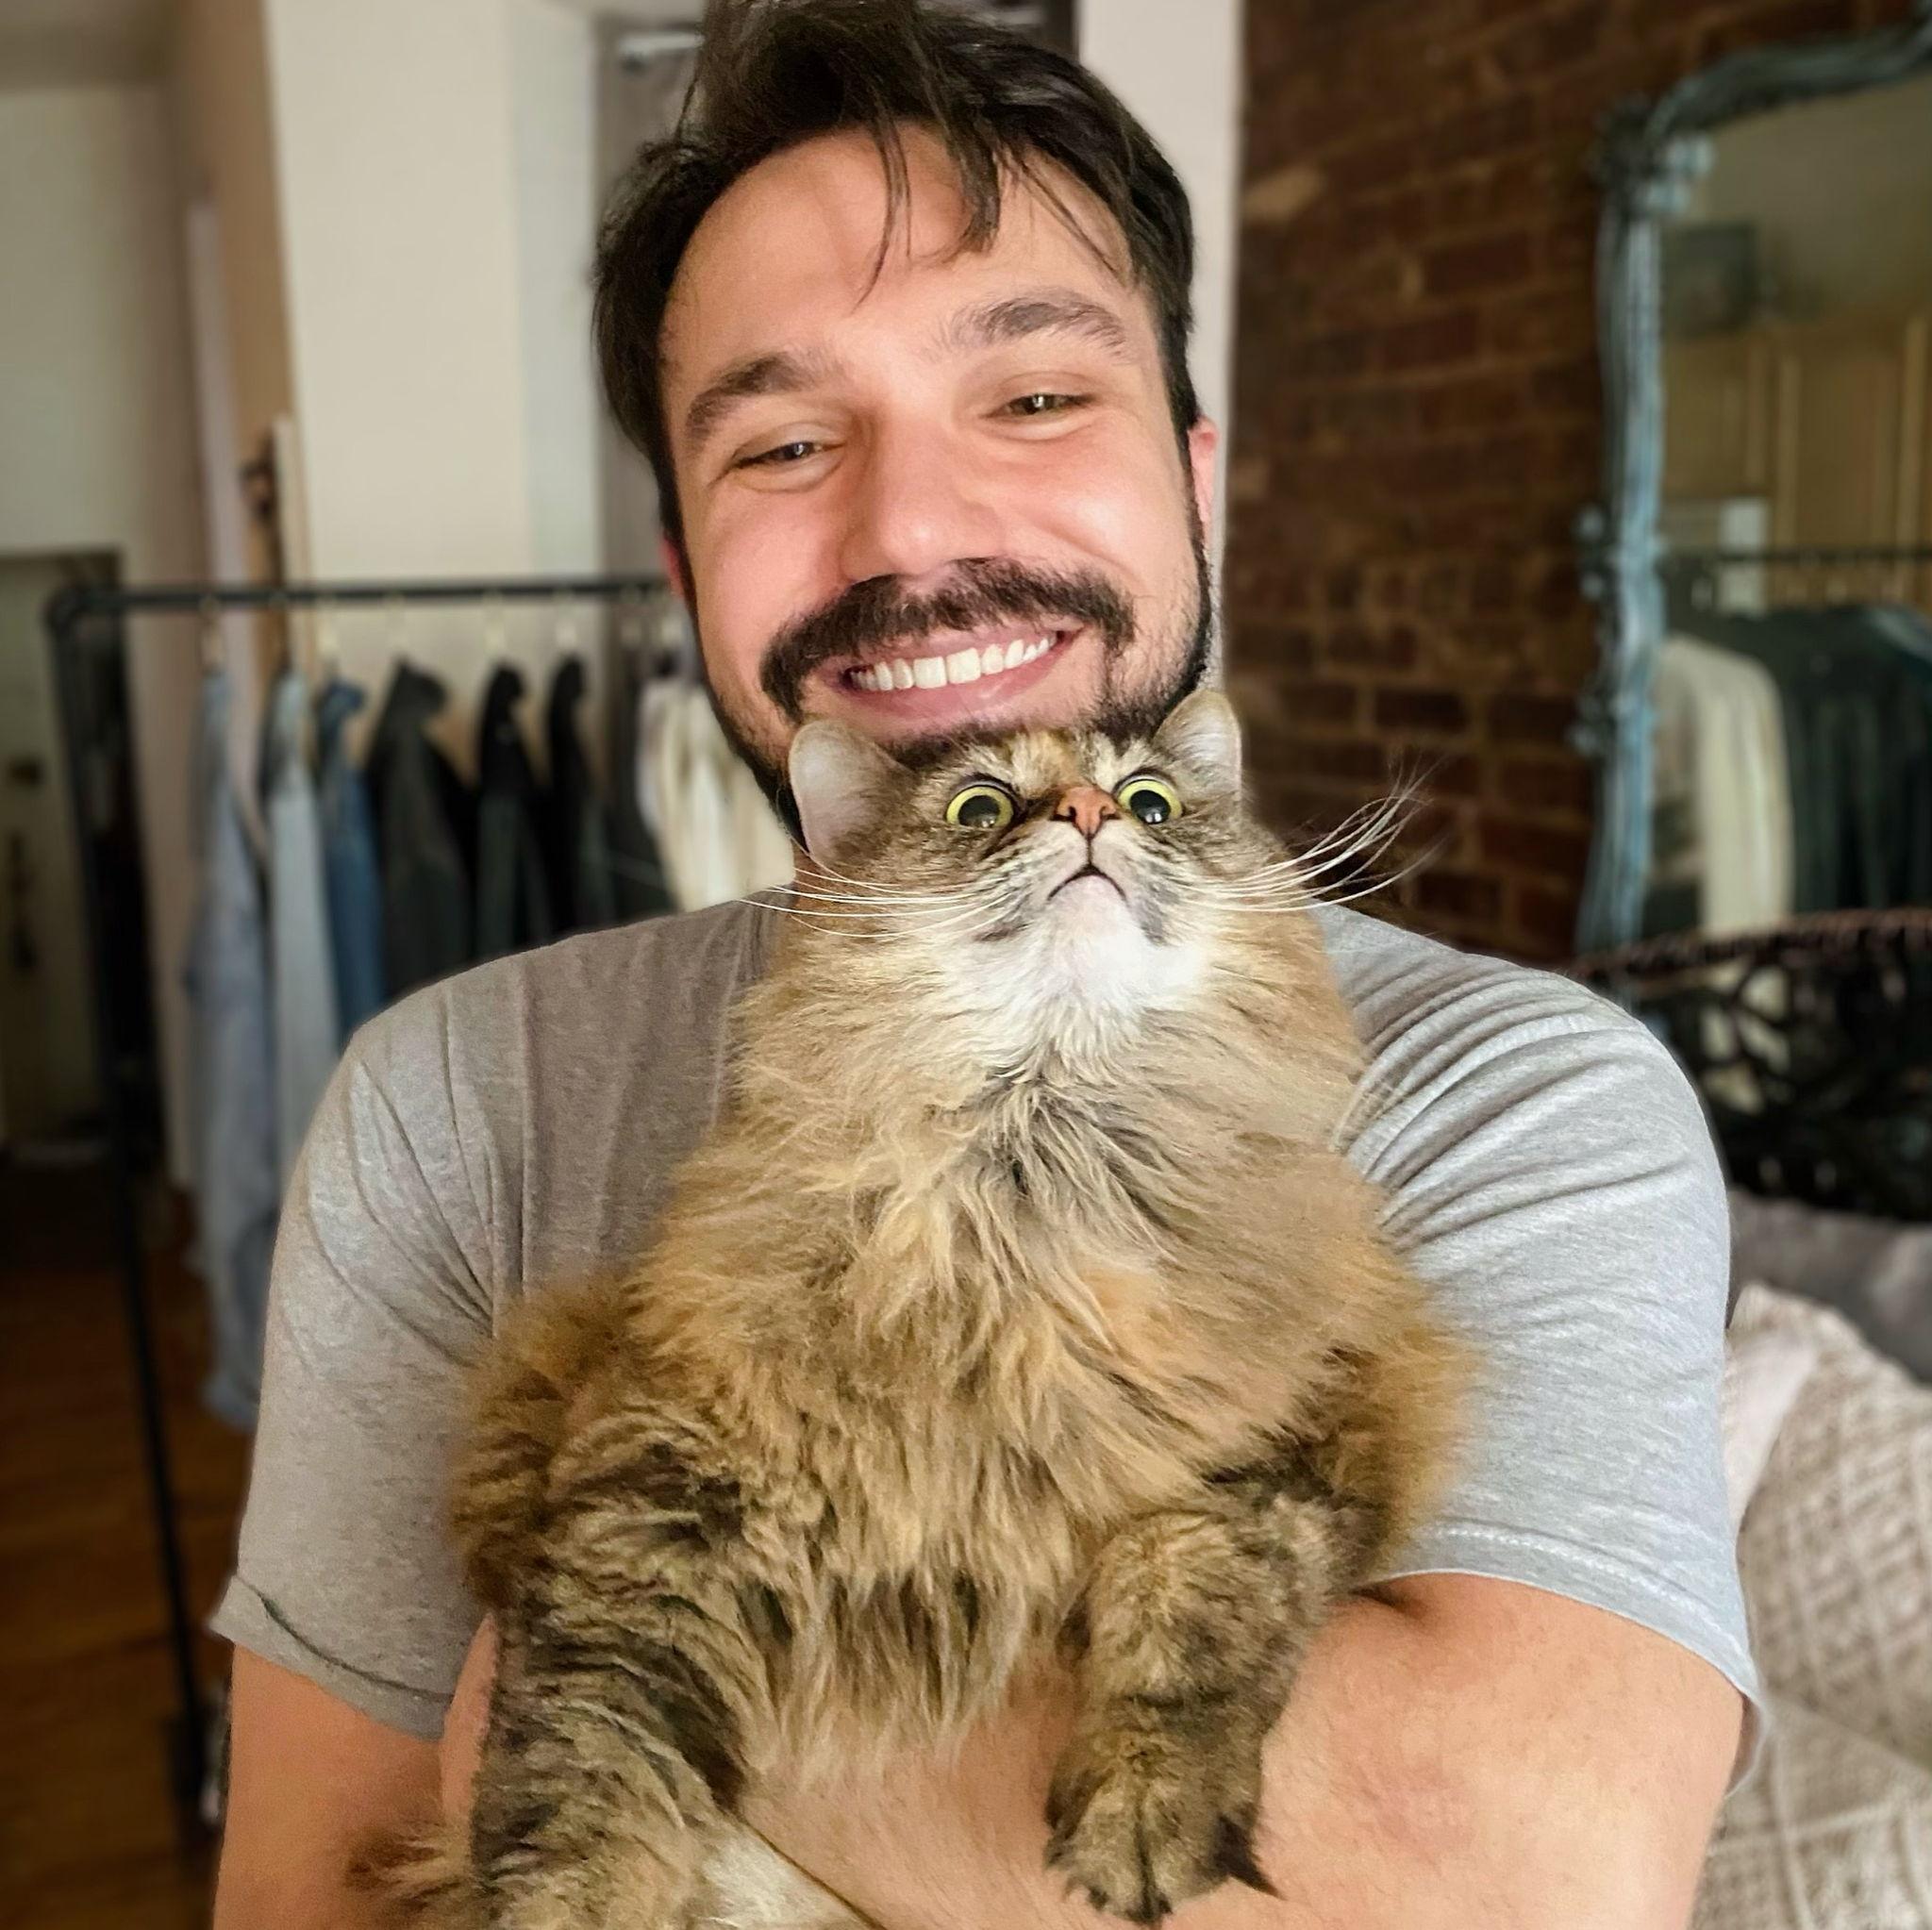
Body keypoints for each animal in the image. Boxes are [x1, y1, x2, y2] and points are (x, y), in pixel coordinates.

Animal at [379, 689, 1470, 1929]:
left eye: (1150, 802)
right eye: (979, 808)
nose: (1088, 812)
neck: (1028, 1197)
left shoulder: (1301, 1433)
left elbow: (1189, 1589)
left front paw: (1147, 1800)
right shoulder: (645, 1511)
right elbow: (580, 1796)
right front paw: (572, 1899)